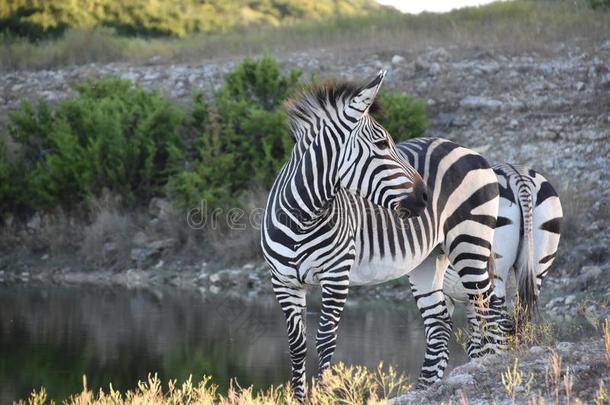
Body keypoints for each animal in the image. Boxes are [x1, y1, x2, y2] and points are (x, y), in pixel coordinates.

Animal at [262, 71, 508, 400]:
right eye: (381, 143)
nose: (426, 196)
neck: (303, 218)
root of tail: (469, 151)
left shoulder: (336, 277)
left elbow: (325, 340)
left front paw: (324, 394)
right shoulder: (283, 282)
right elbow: (297, 346)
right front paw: (300, 398)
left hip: (471, 242)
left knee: (487, 308)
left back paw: (489, 365)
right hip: (429, 260)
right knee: (440, 324)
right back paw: (424, 389)